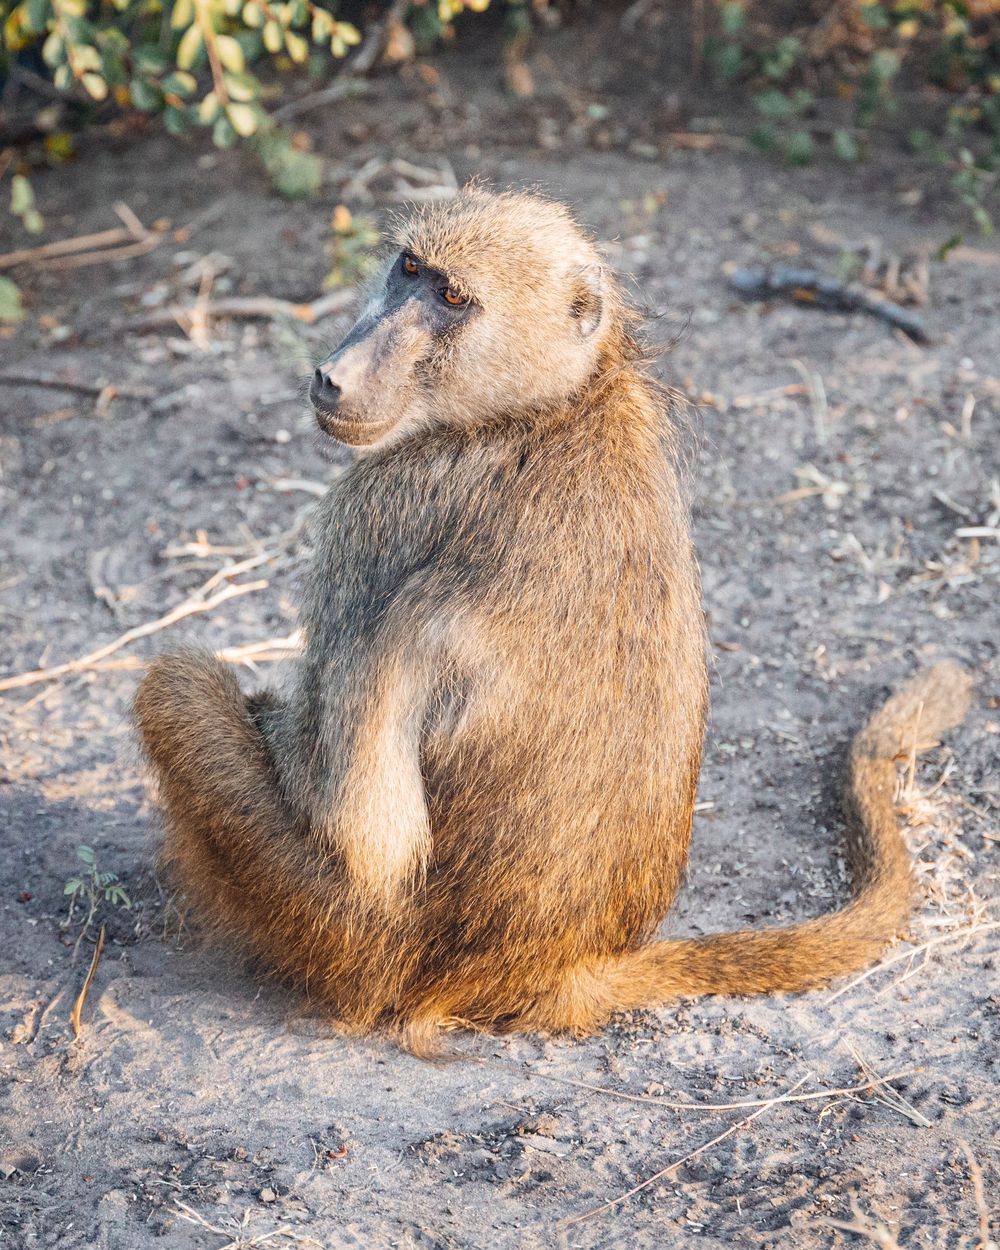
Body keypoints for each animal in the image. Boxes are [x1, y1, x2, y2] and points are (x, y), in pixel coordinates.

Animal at [134, 188, 973, 1052]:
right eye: (410, 270)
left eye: (452, 298)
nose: (334, 375)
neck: (557, 403)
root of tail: (557, 969)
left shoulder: (374, 511)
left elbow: (363, 836)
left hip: (346, 945)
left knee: (176, 686)